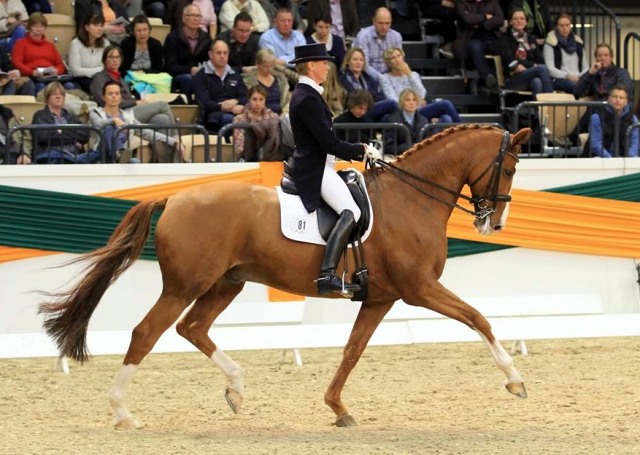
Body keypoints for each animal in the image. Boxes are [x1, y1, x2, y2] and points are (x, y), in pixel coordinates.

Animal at [38, 125, 528, 432]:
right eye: (508, 169)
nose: (495, 224)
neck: (412, 198)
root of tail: (173, 198)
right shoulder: (419, 288)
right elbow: (478, 318)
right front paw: (515, 380)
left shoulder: (380, 298)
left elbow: (352, 352)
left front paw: (338, 408)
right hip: (185, 285)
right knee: (147, 333)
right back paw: (123, 413)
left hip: (226, 283)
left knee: (191, 328)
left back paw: (236, 389)